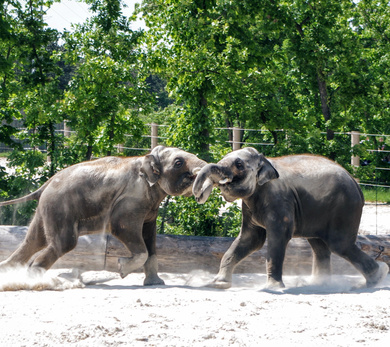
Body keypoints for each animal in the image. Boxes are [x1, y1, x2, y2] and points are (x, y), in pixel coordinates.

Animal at [0, 146, 207, 286]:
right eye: (178, 162)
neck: (145, 158)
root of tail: (46, 184)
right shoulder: (131, 200)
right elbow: (122, 227)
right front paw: (122, 269)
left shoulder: (150, 207)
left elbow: (150, 239)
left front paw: (155, 284)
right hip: (59, 207)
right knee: (63, 243)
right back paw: (34, 279)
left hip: (47, 209)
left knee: (33, 241)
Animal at [193, 147, 388, 290]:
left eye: (239, 164)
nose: (198, 195)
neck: (266, 161)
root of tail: (356, 183)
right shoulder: (249, 205)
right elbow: (250, 239)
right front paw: (218, 284)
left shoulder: (279, 200)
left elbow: (278, 238)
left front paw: (273, 288)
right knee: (320, 246)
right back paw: (319, 284)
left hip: (344, 207)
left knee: (339, 244)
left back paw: (378, 278)